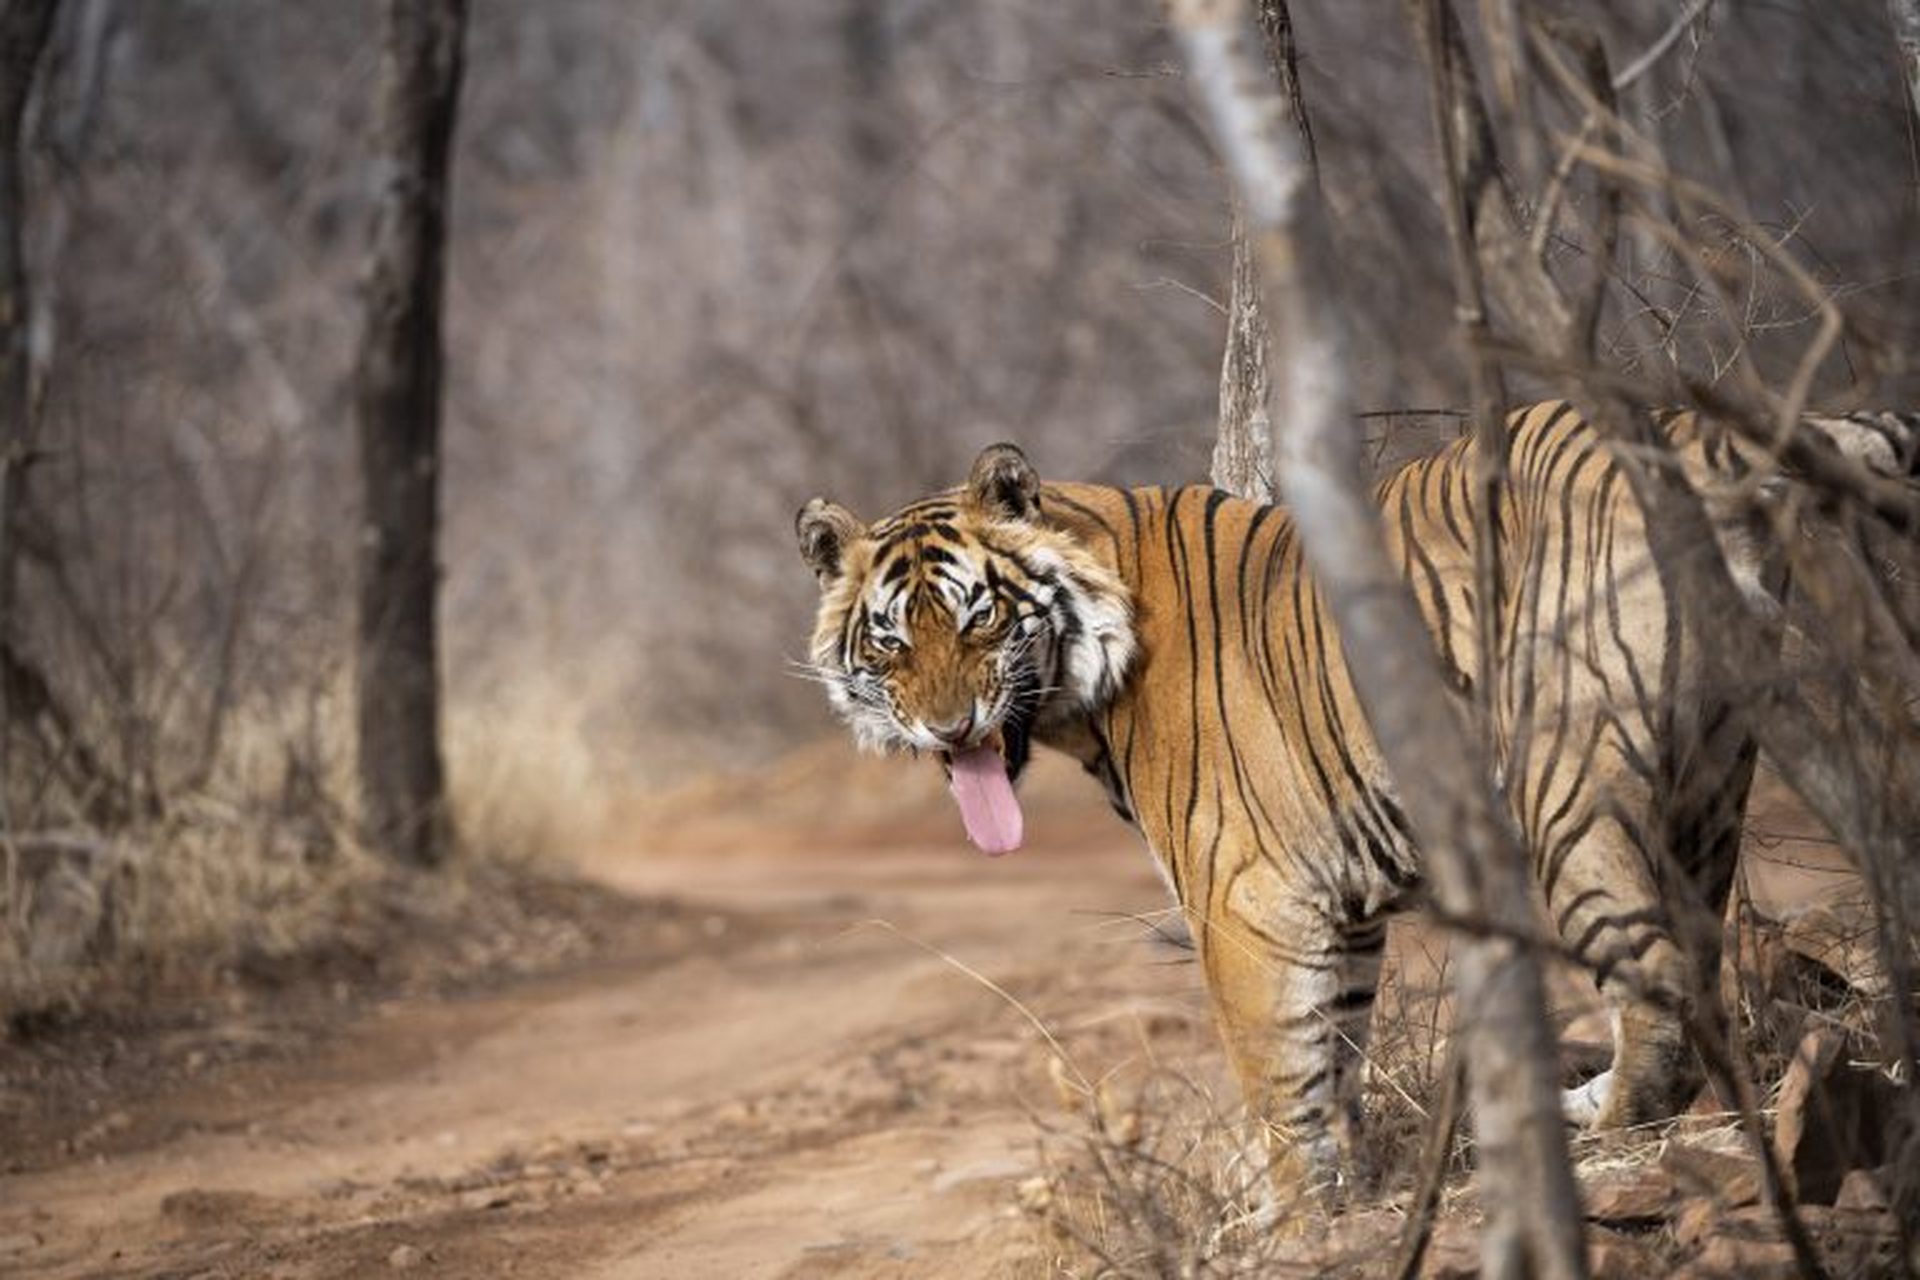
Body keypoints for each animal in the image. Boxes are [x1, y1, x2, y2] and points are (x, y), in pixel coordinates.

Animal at [791, 401, 1904, 1189]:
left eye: (979, 618)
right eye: (890, 640)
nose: (948, 729)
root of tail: (1686, 427)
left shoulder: (1243, 897)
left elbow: (1275, 1072)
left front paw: (1297, 1213)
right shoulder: (1341, 902)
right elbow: (1332, 1054)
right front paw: (1350, 1186)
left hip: (1567, 782)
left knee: (1656, 977)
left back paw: (1607, 1122)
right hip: (1716, 768)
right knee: (1705, 955)